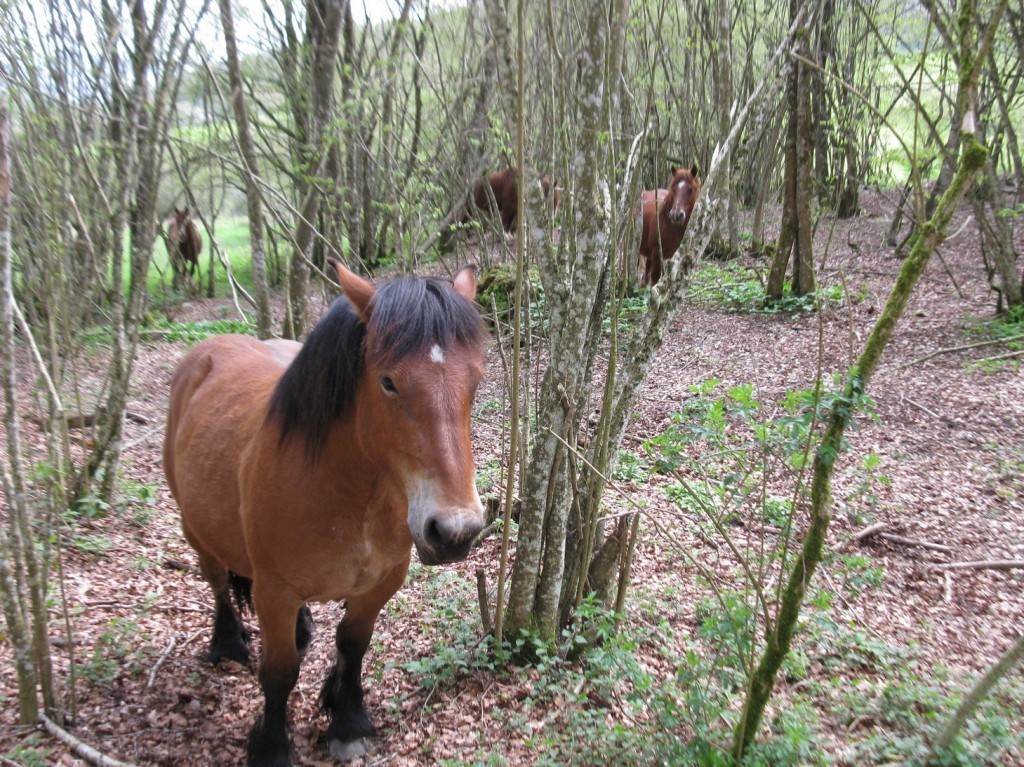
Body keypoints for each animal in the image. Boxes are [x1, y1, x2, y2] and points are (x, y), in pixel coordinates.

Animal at [161, 260, 489, 761]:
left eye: (475, 381)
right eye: (388, 382)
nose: (455, 531)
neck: (351, 498)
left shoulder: (382, 581)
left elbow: (353, 644)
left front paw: (347, 720)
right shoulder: (274, 591)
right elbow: (279, 672)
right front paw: (272, 747)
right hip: (194, 528)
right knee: (215, 578)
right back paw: (227, 642)